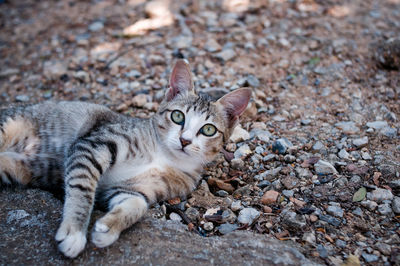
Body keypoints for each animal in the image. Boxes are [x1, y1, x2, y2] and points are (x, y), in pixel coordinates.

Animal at [0, 59, 250, 258]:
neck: (164, 157)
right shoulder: (93, 144)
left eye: (208, 130)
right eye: (178, 116)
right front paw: (74, 231)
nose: (185, 140)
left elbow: (136, 204)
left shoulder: (130, 189)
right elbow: (82, 189)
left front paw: (108, 228)